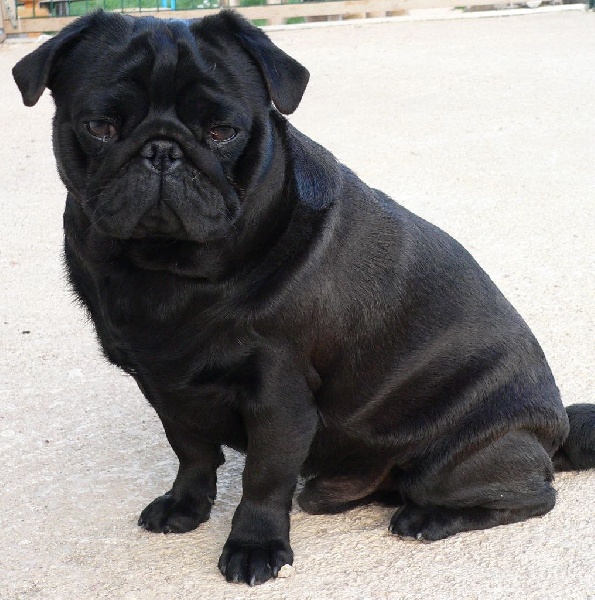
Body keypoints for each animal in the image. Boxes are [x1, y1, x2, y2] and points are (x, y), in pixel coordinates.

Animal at [12, 9, 592, 584]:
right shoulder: (164, 386)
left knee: (531, 497)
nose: (161, 149)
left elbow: (264, 481)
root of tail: (556, 428)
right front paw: (185, 506)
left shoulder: (279, 397)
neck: (167, 270)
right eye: (100, 127)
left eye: (222, 132)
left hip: (455, 462)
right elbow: (192, 452)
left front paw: (254, 545)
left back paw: (429, 518)